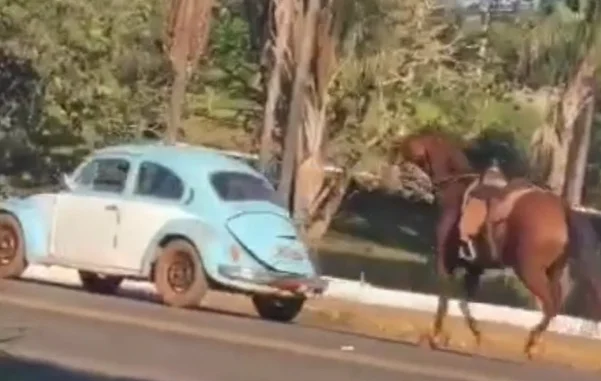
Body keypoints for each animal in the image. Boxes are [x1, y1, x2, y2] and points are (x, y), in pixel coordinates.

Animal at [386, 131, 600, 356]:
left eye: (410, 145)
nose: (395, 160)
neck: (456, 186)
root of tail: (561, 207)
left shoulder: (446, 262)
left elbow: (444, 298)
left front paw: (434, 336)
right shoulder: (474, 268)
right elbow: (464, 302)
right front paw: (476, 334)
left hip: (529, 271)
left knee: (550, 305)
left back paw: (532, 342)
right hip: (553, 271)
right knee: (555, 304)